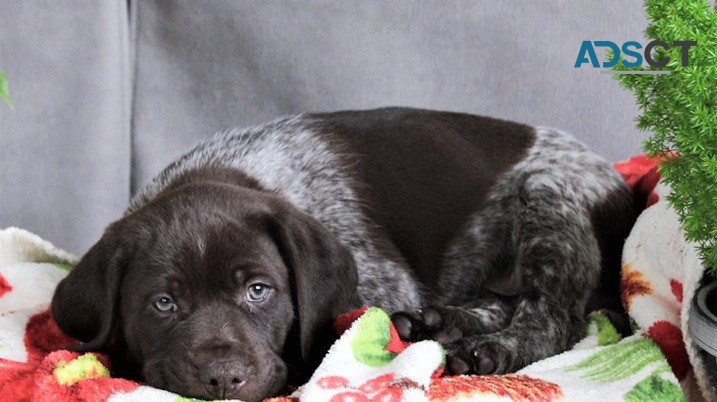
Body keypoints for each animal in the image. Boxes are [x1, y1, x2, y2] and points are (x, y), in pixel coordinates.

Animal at [51, 107, 632, 402]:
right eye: (163, 304)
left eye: (258, 291)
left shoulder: (380, 281)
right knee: (503, 299)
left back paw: (491, 348)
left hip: (548, 192)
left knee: (554, 317)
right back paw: (441, 322)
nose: (222, 379)